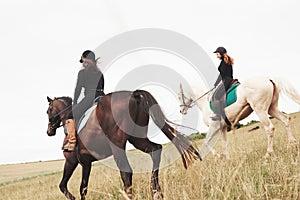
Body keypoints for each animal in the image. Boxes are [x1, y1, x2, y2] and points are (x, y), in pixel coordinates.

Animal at [46, 90, 202, 199]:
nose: (49, 131)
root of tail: (134, 95)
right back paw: (156, 190)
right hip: (138, 139)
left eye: (48, 110)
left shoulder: (71, 161)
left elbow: (63, 186)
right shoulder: (86, 163)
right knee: (156, 150)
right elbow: (83, 188)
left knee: (126, 172)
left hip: (118, 145)